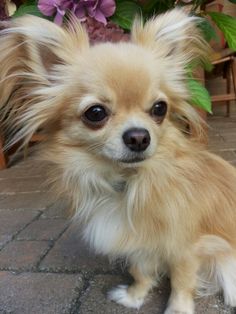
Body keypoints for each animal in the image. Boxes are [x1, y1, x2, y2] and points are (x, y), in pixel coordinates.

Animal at [0, 9, 236, 314]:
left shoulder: (187, 245)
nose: (139, 137)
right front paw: (135, 297)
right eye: (95, 113)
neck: (126, 183)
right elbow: (140, 270)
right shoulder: (139, 241)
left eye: (159, 109)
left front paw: (177, 309)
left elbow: (182, 281)